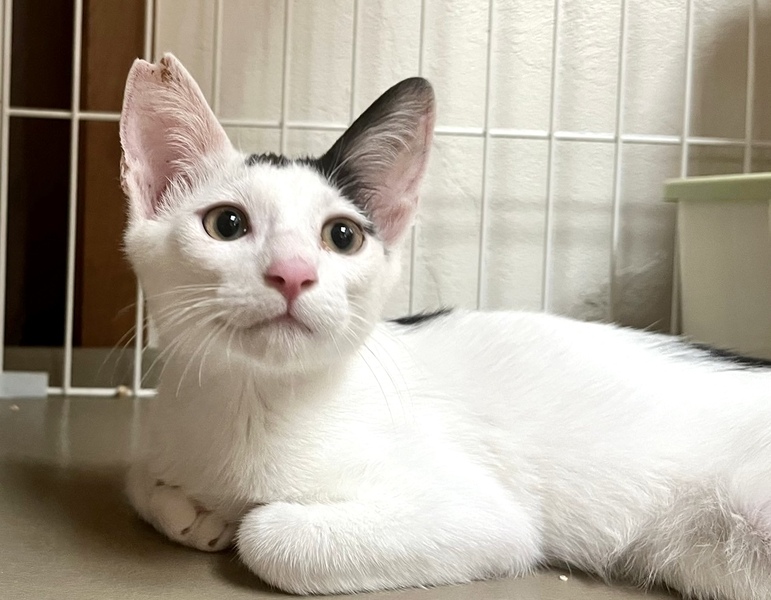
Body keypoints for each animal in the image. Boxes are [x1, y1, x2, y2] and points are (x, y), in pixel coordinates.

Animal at [121, 53, 771, 599]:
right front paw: (191, 510)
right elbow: (139, 480)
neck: (251, 402)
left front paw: (242, 517)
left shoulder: (485, 518)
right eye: (227, 224)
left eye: (342, 236)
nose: (293, 274)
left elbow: (269, 534)